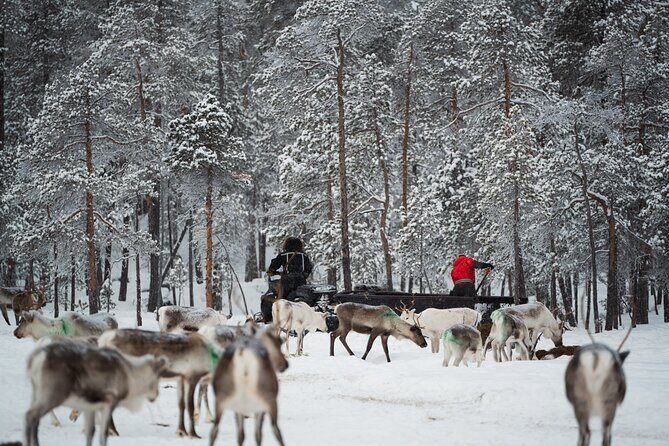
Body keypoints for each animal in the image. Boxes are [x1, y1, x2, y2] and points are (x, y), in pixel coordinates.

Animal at [24, 339, 167, 446]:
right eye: (156, 378)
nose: (155, 395)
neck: (131, 376)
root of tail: (36, 358)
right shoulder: (108, 402)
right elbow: (103, 434)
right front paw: (112, 432)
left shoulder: (90, 407)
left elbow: (90, 431)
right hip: (54, 393)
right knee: (32, 415)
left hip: (37, 392)